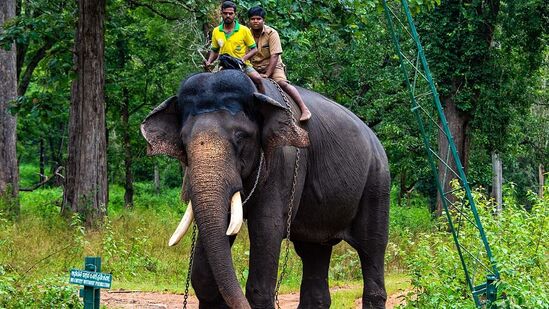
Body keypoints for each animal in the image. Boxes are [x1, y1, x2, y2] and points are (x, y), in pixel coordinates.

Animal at [141, 70, 390, 308]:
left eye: (241, 136)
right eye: (183, 141)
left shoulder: (285, 162)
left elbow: (267, 228)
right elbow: (204, 275)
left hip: (376, 183)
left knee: (372, 247)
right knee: (313, 251)